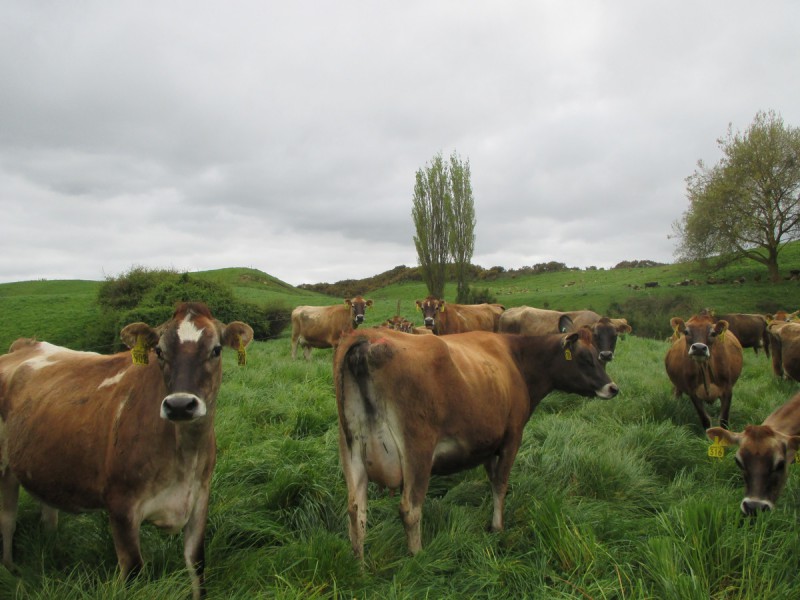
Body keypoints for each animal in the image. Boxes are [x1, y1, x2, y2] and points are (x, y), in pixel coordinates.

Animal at [0, 304, 253, 600]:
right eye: (159, 351)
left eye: (216, 350)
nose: (180, 405)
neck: (185, 454)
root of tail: (23, 346)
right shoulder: (121, 507)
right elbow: (133, 573)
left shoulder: (199, 498)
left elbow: (196, 564)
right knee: (7, 520)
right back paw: (10, 572)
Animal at [332, 326, 620, 560]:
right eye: (585, 358)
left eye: (599, 355)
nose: (613, 388)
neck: (515, 359)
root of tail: (368, 337)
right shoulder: (512, 436)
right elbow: (501, 483)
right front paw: (497, 527)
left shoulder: (487, 444)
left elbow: (492, 481)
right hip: (417, 451)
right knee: (410, 509)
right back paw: (419, 559)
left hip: (351, 451)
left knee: (356, 511)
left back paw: (360, 567)